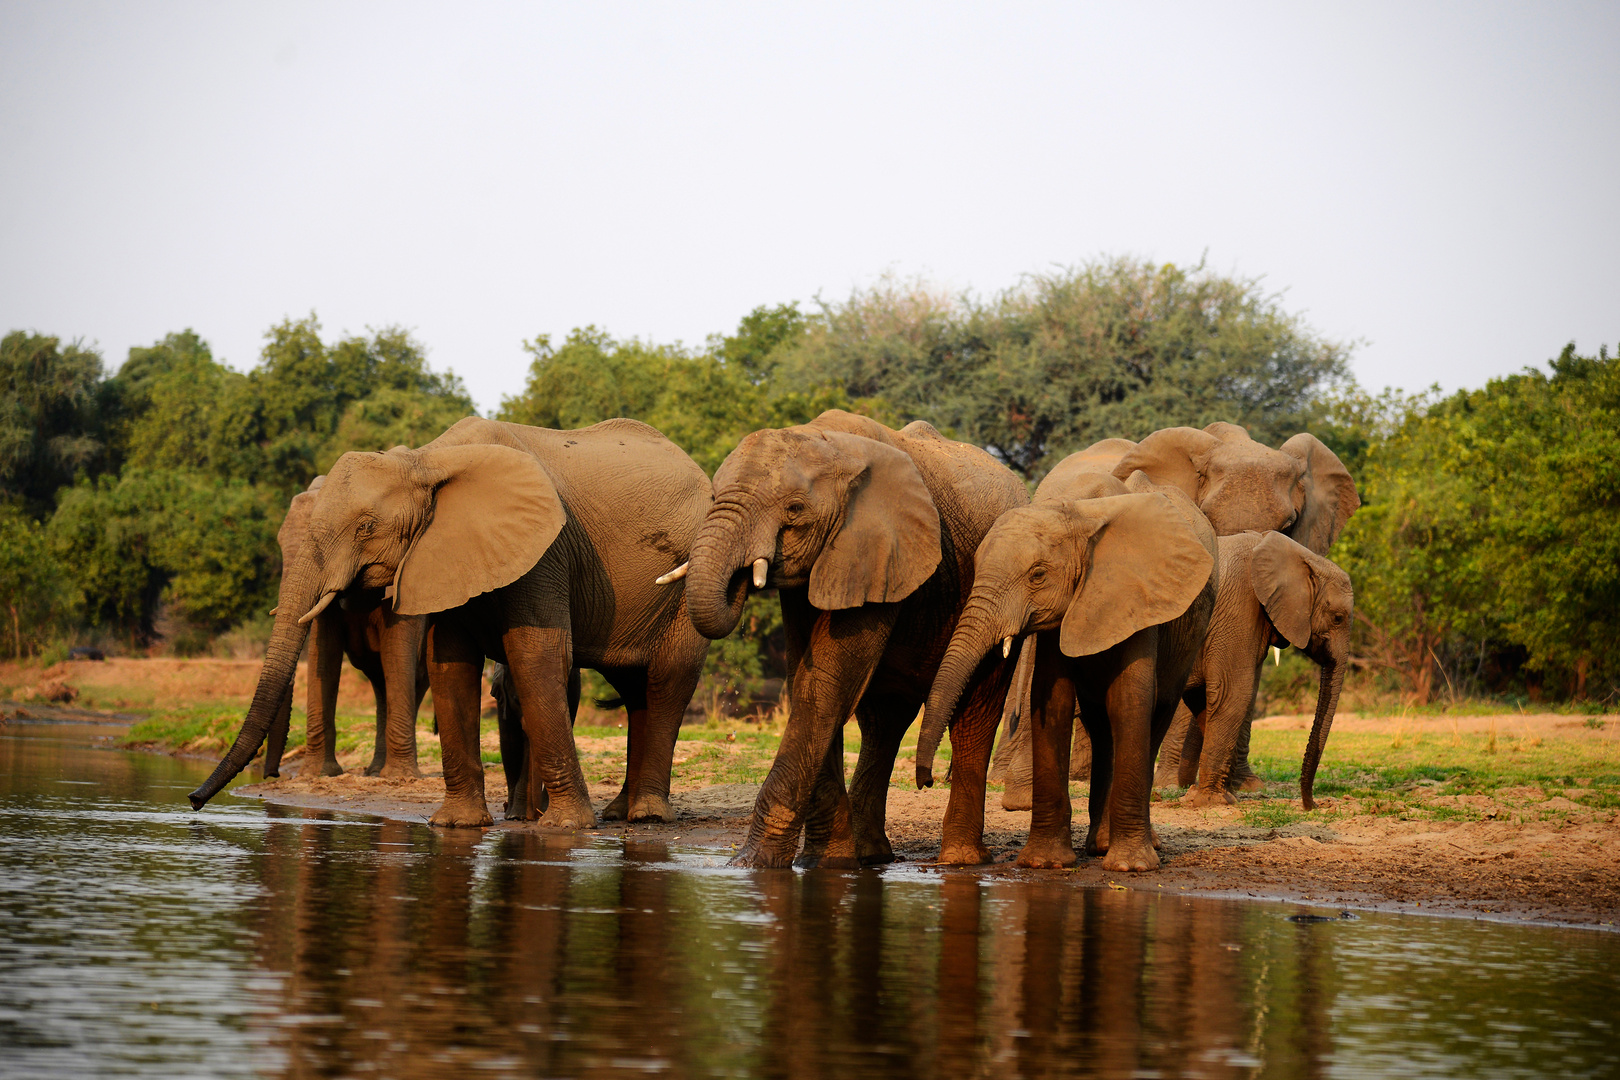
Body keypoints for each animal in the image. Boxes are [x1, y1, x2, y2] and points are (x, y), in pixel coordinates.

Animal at [259, 476, 427, 780]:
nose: (272, 775)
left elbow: (398, 653)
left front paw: (399, 778)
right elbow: (323, 654)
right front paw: (318, 774)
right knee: (381, 682)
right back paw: (374, 771)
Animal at [667, 409, 1023, 874]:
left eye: (795, 509)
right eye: (713, 497)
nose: (743, 574)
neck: (828, 440)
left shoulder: (878, 549)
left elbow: (827, 682)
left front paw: (752, 865)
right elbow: (809, 678)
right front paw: (826, 863)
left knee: (974, 717)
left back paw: (961, 861)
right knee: (883, 722)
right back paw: (872, 856)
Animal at [920, 476, 1218, 874]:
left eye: (1037, 575)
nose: (927, 780)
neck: (1079, 517)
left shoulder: (1139, 595)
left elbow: (1130, 700)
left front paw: (1131, 868)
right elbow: (1052, 700)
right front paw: (1045, 864)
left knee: (1155, 713)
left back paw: (1129, 846)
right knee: (1101, 724)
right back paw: (1099, 845)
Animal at [1179, 531, 1354, 809]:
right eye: (1338, 618)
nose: (1314, 806)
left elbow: (1202, 699)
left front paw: (1213, 796)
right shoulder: (1239, 608)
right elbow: (1232, 693)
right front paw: (1214, 802)